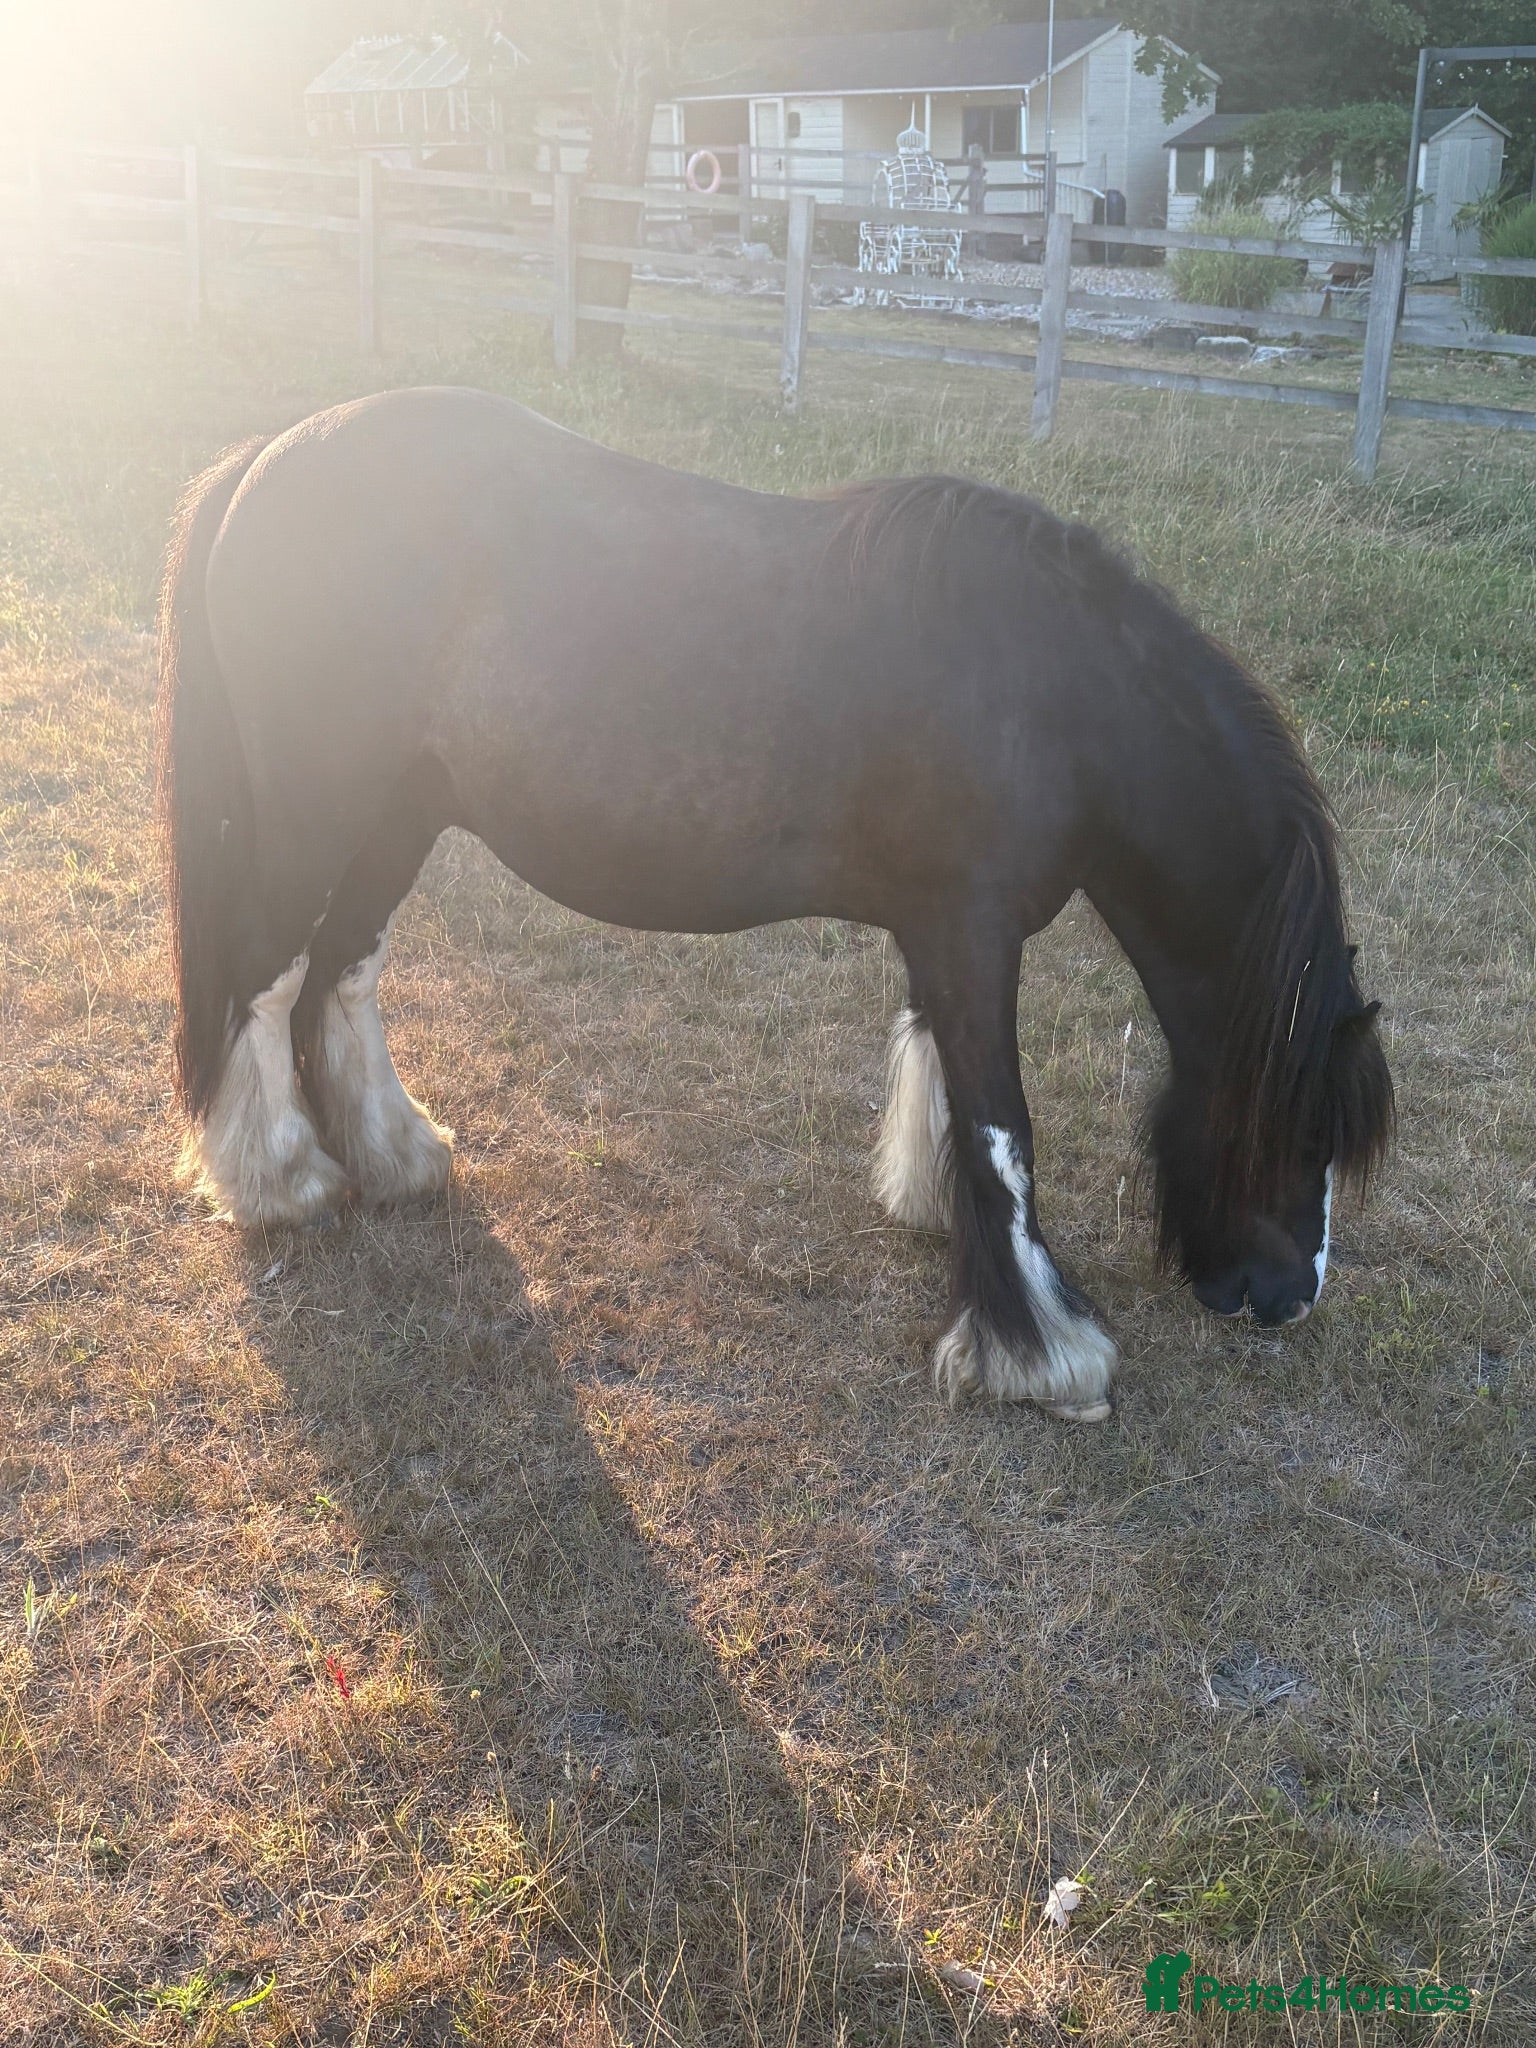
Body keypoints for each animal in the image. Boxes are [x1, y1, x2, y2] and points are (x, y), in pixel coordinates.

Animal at [156, 389, 1394, 1424]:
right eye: (1306, 1123)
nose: (1287, 1295)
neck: (1055, 694)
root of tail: (264, 456)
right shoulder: (972, 931)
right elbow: (1004, 1128)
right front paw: (1046, 1354)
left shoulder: (943, 932)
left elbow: (945, 1081)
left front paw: (934, 1211)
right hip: (319, 807)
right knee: (265, 975)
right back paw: (281, 1181)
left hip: (402, 813)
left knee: (341, 970)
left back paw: (395, 1155)